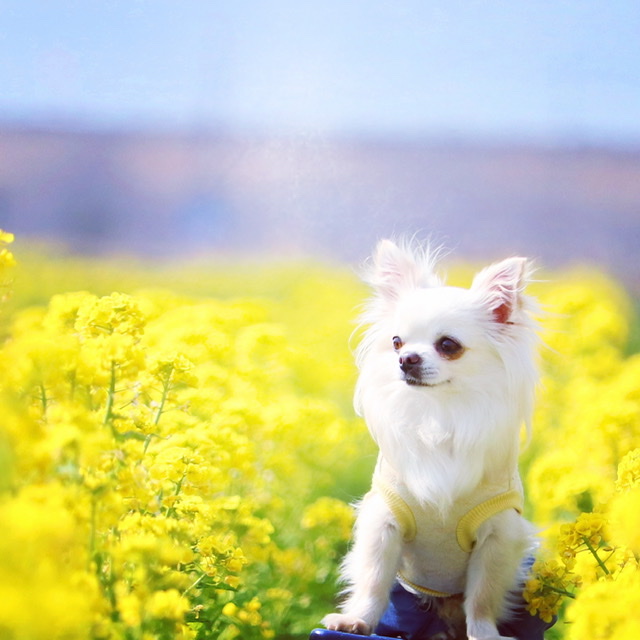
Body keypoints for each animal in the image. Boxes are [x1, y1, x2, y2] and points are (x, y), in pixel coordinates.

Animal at [322, 240, 544, 640]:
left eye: (448, 345)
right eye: (396, 342)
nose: (406, 358)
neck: (438, 413)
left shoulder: (499, 536)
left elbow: (483, 596)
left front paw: (484, 633)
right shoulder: (384, 522)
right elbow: (373, 580)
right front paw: (356, 620)